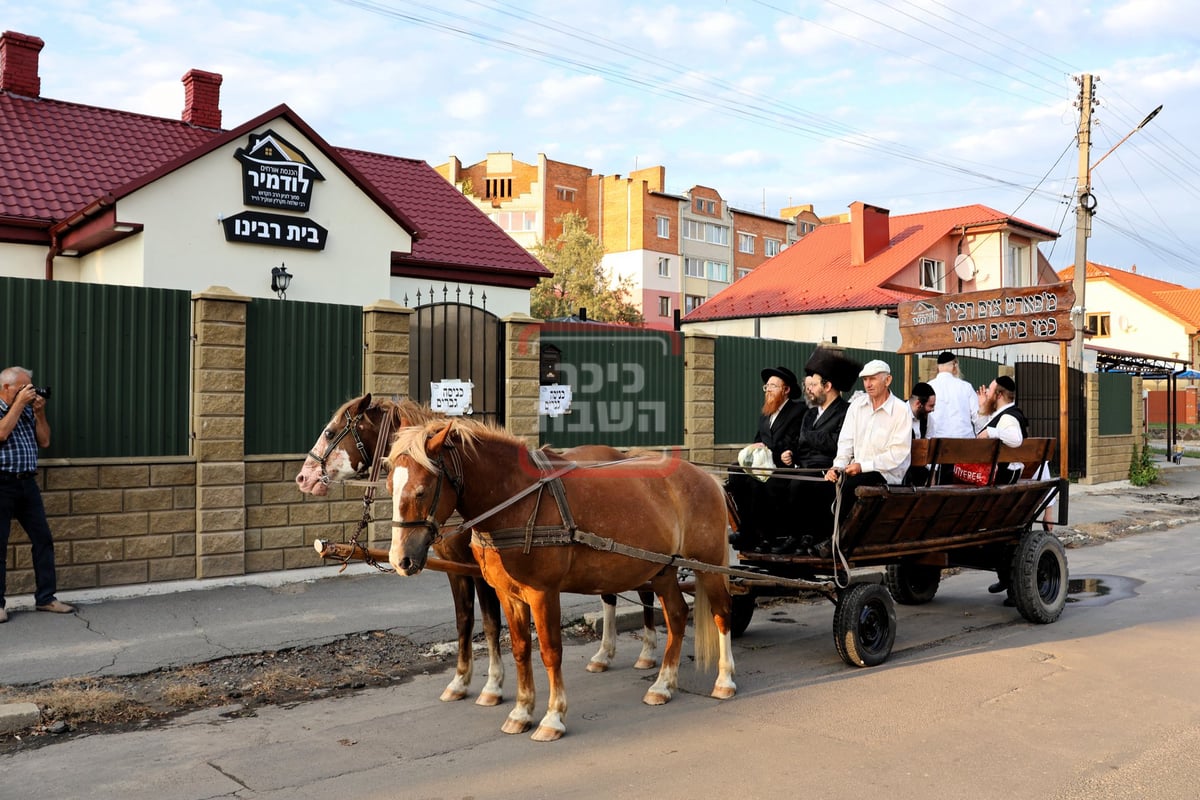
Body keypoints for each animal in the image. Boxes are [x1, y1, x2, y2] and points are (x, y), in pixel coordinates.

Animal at [296, 395, 662, 705]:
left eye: (330, 432)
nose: (303, 477)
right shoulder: (456, 569)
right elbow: (464, 621)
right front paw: (460, 681)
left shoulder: (484, 573)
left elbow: (489, 624)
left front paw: (493, 685)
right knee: (611, 594)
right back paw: (604, 655)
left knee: (644, 590)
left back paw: (646, 653)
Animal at [388, 419, 734, 743]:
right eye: (390, 484)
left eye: (421, 491)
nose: (400, 559)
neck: (517, 500)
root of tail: (708, 478)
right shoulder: (508, 594)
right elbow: (520, 649)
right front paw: (521, 711)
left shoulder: (543, 593)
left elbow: (550, 651)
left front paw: (553, 717)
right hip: (662, 570)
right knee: (676, 616)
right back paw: (663, 684)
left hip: (709, 567)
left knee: (721, 614)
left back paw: (724, 680)